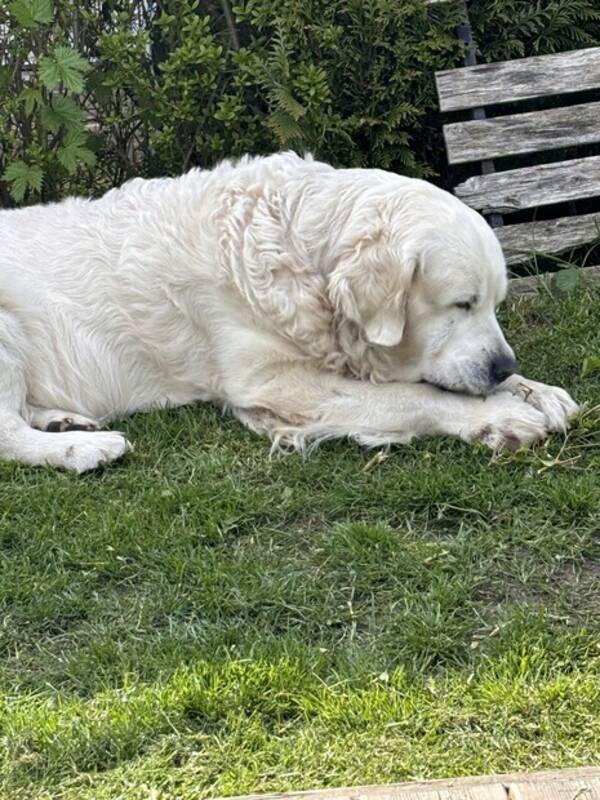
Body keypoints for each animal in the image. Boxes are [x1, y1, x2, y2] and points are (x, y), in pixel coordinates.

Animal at [1, 152, 580, 468]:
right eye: (462, 303)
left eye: (495, 304)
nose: (503, 366)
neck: (300, 247)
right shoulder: (275, 380)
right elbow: (411, 396)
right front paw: (500, 415)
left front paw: (536, 390)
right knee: (7, 434)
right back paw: (83, 449)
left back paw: (65, 422)